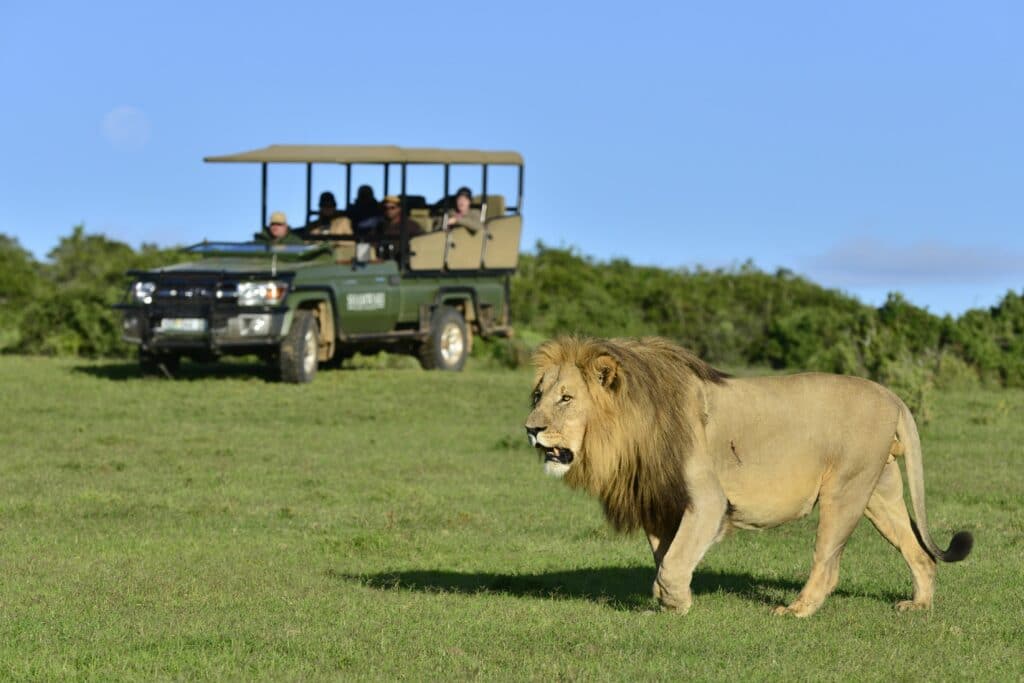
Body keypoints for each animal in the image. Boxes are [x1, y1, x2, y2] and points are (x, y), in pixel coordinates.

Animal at [528, 335, 974, 618]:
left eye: (566, 398)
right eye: (538, 395)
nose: (531, 428)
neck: (628, 430)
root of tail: (891, 394)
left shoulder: (708, 500)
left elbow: (674, 561)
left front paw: (677, 604)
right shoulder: (660, 502)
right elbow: (665, 558)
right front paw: (668, 596)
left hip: (845, 490)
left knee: (828, 562)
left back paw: (796, 610)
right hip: (880, 491)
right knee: (919, 552)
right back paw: (919, 605)